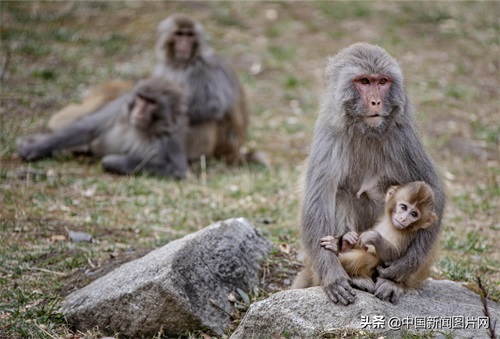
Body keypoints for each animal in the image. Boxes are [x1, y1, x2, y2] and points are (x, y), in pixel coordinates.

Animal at [17, 77, 188, 181]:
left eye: (152, 102)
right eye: (141, 98)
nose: (139, 111)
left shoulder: (169, 136)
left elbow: (176, 169)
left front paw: (112, 161)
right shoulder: (120, 107)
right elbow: (88, 127)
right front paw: (35, 148)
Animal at [292, 42, 448, 306]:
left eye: (382, 81)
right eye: (364, 81)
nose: (376, 101)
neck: (365, 131)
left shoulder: (403, 135)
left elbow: (433, 191)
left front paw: (403, 267)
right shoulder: (329, 134)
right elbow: (318, 201)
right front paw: (333, 275)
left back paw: (392, 281)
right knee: (341, 193)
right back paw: (350, 259)